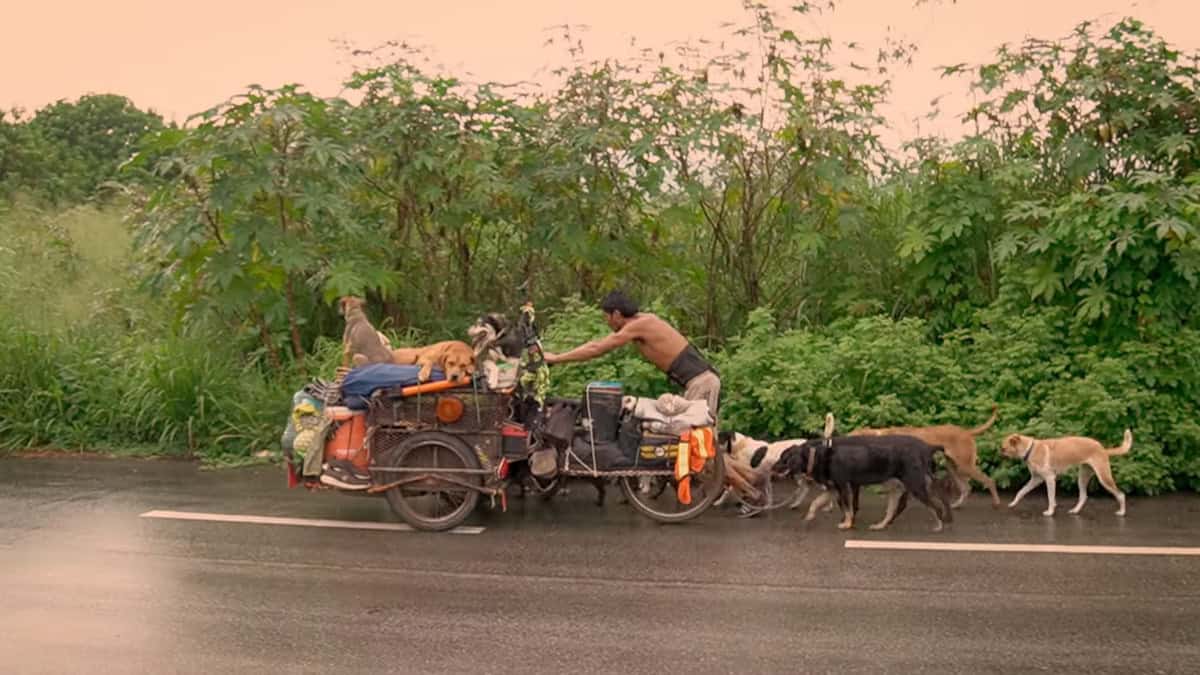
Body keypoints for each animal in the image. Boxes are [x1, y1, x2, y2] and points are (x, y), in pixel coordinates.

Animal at [844, 403, 1003, 504]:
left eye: (852, 436)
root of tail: (966, 432)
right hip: (953, 467)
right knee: (966, 488)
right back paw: (956, 505)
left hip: (964, 465)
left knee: (989, 481)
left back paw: (996, 504)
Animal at [998, 427, 1128, 516]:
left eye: (1003, 449)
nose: (998, 456)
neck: (1030, 449)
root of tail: (1103, 449)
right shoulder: (1036, 479)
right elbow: (1021, 492)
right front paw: (1013, 503)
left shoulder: (1049, 478)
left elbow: (1050, 497)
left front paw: (1050, 511)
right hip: (1082, 478)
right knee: (1083, 496)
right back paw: (1075, 510)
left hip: (1104, 477)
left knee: (1121, 494)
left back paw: (1122, 512)